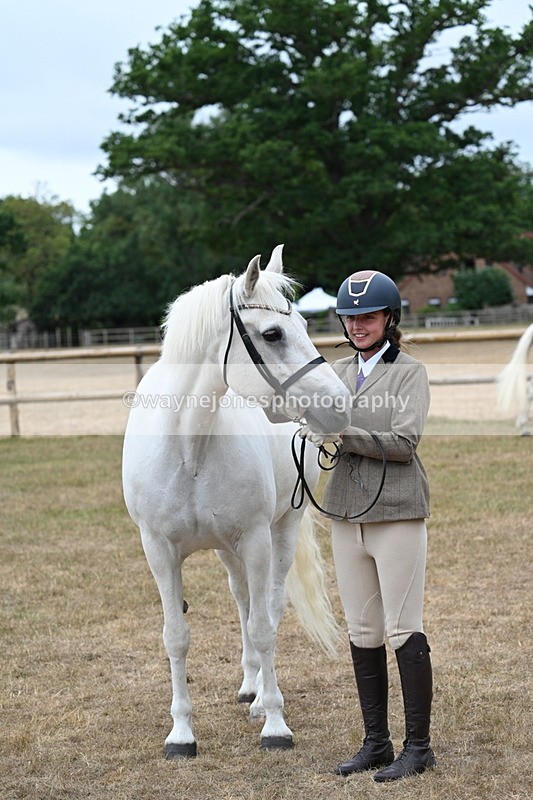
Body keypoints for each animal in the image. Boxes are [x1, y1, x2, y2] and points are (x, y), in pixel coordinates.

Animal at [122, 245, 352, 758]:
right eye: (272, 333)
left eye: (304, 324)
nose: (339, 405)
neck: (189, 449)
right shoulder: (158, 551)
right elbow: (177, 636)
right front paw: (181, 734)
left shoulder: (257, 540)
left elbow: (264, 625)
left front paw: (276, 725)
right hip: (228, 551)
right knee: (243, 601)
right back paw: (250, 688)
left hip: (279, 533)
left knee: (268, 607)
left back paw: (262, 698)